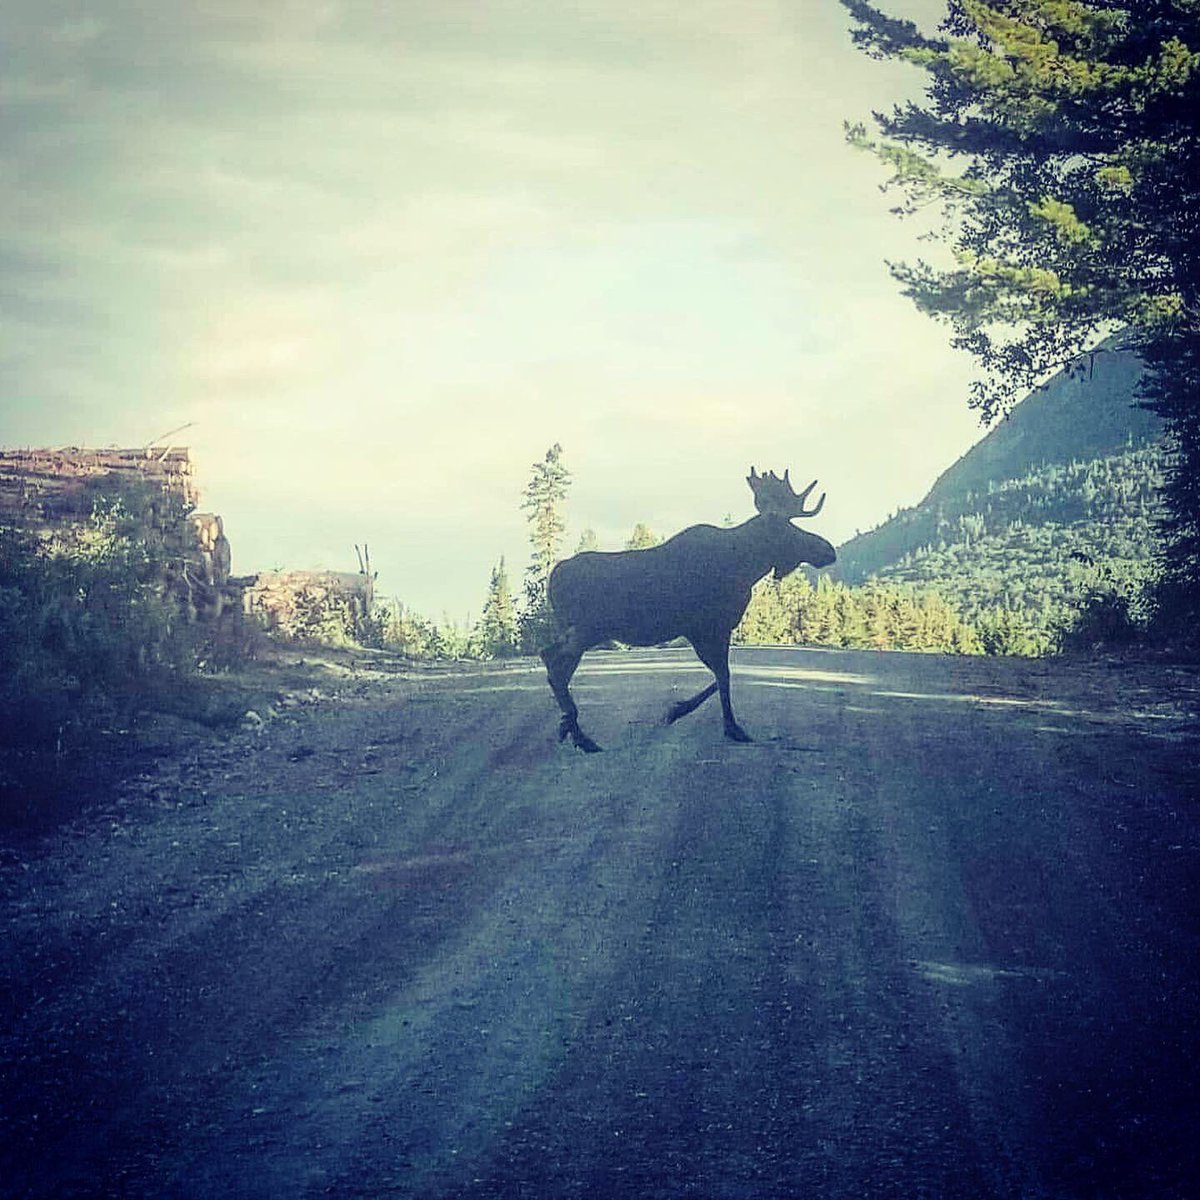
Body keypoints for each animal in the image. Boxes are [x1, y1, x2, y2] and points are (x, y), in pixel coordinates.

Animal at [540, 468, 836, 752]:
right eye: (789, 528)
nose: (828, 549)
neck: (745, 567)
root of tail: (553, 580)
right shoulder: (708, 626)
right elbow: (724, 674)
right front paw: (729, 727)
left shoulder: (705, 630)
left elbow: (722, 674)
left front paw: (677, 710)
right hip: (588, 629)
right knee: (553, 660)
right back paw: (579, 733)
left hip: (580, 631)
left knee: (554, 661)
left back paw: (572, 728)